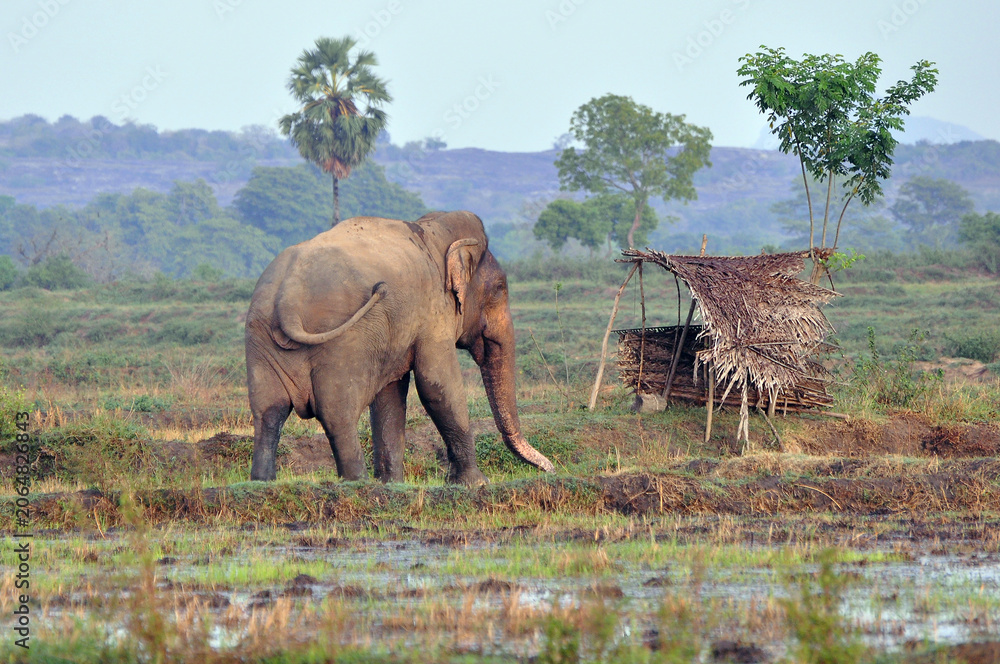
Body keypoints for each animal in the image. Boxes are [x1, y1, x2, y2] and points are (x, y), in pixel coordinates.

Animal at [244, 210, 555, 486]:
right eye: (500, 289)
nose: (551, 468)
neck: (433, 231)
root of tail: (288, 297)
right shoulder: (433, 312)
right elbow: (437, 384)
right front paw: (476, 484)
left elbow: (390, 395)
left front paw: (393, 485)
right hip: (341, 343)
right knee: (337, 413)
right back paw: (358, 483)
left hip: (261, 338)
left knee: (268, 411)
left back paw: (262, 482)